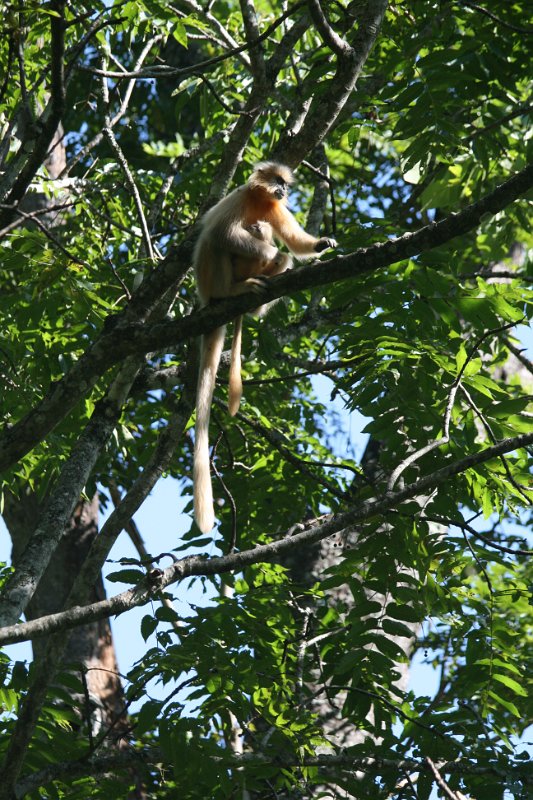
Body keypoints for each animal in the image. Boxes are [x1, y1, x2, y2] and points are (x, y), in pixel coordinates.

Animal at [193, 159, 334, 536]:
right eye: (277, 181)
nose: (282, 190)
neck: (260, 200)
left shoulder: (275, 208)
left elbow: (296, 243)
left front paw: (320, 244)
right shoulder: (242, 198)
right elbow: (225, 234)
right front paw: (273, 251)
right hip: (212, 278)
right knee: (220, 240)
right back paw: (237, 287)